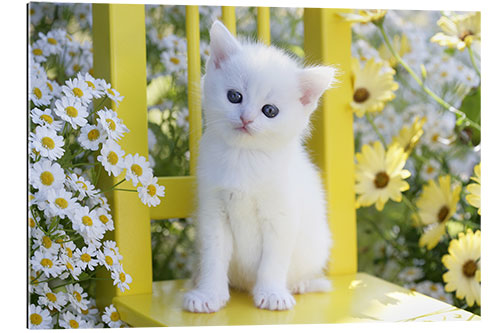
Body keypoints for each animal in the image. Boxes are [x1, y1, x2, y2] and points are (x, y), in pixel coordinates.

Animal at [184, 22, 336, 312]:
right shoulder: (213, 212)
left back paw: (302, 284)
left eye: (270, 111)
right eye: (234, 96)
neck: (244, 157)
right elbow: (214, 257)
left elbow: (273, 261)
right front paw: (209, 294)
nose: (247, 118)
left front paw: (272, 293)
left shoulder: (281, 216)